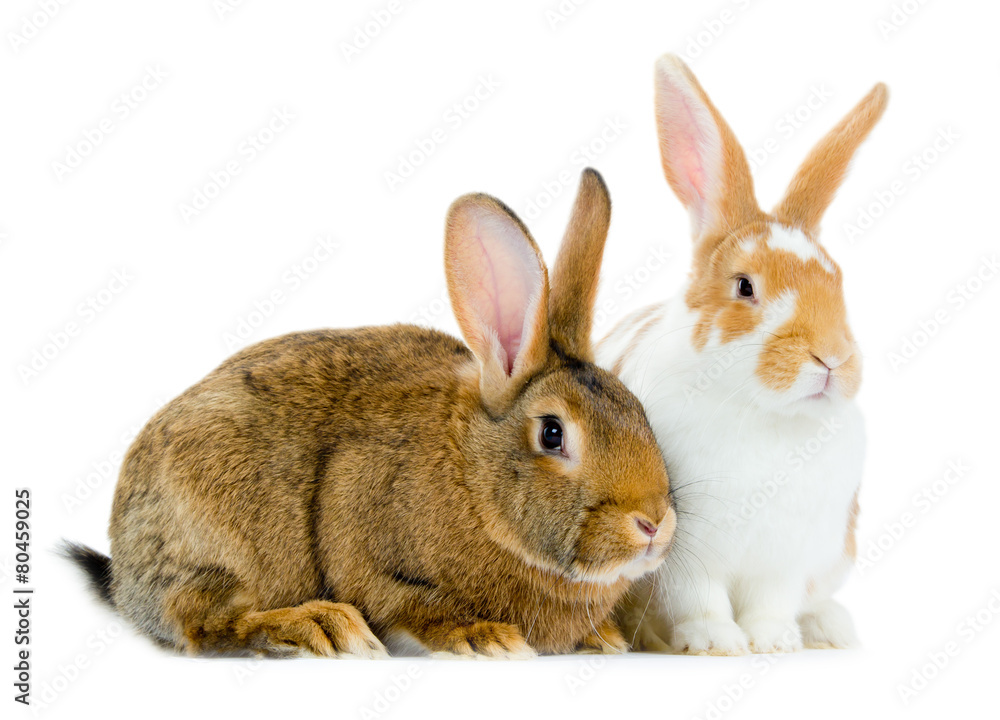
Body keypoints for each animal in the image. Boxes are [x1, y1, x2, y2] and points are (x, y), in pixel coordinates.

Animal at [66, 168, 675, 659]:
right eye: (552, 433)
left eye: (638, 410)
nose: (653, 523)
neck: (472, 478)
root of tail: (125, 578)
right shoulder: (358, 523)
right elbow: (407, 602)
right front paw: (483, 638)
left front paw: (603, 639)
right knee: (205, 624)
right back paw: (318, 627)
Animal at [597, 55, 888, 654]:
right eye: (745, 287)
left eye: (838, 282)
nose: (831, 358)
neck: (762, 414)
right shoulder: (684, 556)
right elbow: (699, 600)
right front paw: (715, 643)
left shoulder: (787, 558)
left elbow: (772, 603)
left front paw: (773, 642)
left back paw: (830, 629)